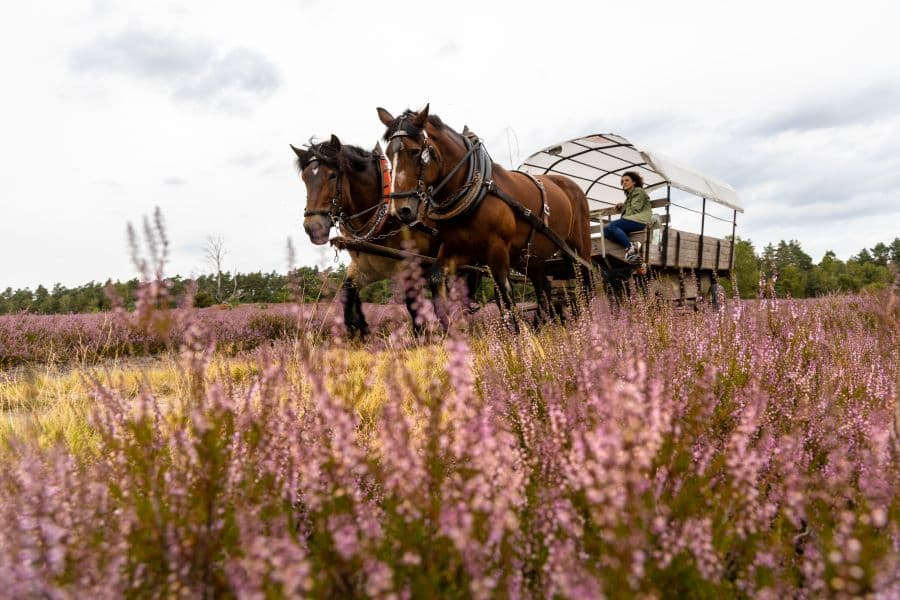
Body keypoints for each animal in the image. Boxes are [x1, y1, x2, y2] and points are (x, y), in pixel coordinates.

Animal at [292, 137, 440, 340]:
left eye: (332, 175)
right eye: (305, 178)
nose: (313, 228)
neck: (384, 218)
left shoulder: (411, 266)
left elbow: (413, 305)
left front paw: (421, 338)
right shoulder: (365, 268)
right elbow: (347, 294)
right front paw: (359, 328)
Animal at [376, 105, 596, 326]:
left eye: (414, 151)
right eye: (388, 154)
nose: (399, 210)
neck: (477, 190)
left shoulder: (497, 249)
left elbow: (505, 297)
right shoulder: (459, 249)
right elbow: (436, 277)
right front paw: (452, 326)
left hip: (579, 248)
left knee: (586, 283)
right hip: (531, 257)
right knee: (544, 289)